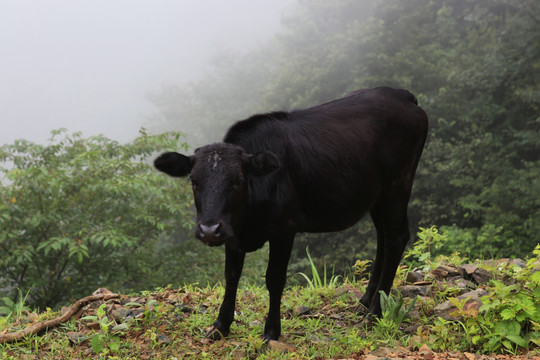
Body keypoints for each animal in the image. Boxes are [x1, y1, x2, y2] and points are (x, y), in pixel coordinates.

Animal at [154, 87, 428, 340]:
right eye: (193, 180)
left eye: (238, 180)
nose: (209, 229)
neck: (248, 223)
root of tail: (400, 94)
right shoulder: (233, 233)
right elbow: (231, 276)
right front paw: (221, 326)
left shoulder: (284, 228)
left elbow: (274, 278)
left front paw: (271, 331)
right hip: (377, 195)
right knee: (383, 238)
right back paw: (365, 301)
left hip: (398, 185)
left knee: (396, 237)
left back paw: (375, 313)